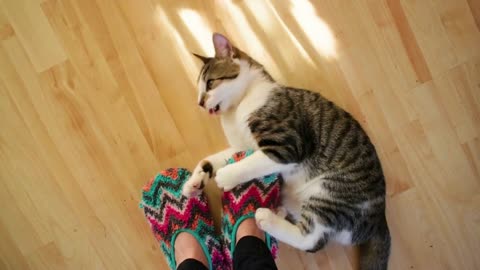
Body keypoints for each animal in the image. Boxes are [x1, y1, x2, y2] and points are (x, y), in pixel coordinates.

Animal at [184, 32, 390, 268]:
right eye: (199, 89)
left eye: (210, 83)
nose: (199, 102)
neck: (238, 108)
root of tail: (380, 218)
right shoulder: (241, 147)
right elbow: (212, 159)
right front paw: (194, 182)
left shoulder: (288, 145)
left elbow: (250, 163)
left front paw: (227, 175)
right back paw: (279, 211)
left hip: (330, 193)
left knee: (312, 240)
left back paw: (266, 218)